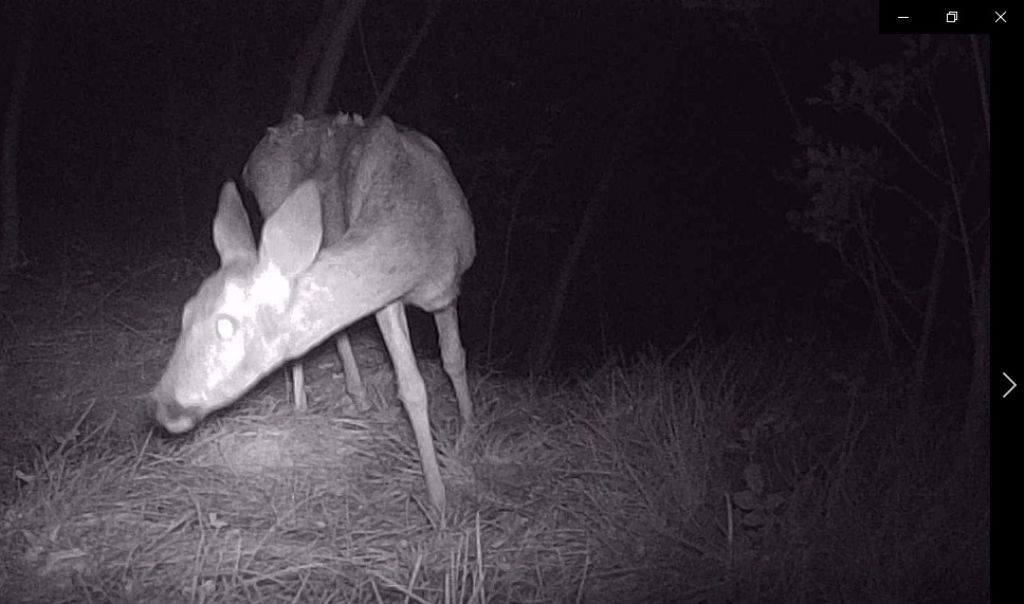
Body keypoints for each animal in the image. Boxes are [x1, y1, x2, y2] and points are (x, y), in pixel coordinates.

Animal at [150, 112, 475, 511]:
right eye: (185, 313)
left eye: (225, 324)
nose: (163, 404)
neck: (424, 234)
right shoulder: (387, 300)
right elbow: (412, 386)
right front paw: (439, 500)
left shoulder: (451, 290)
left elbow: (454, 357)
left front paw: (469, 433)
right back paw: (305, 403)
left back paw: (358, 394)